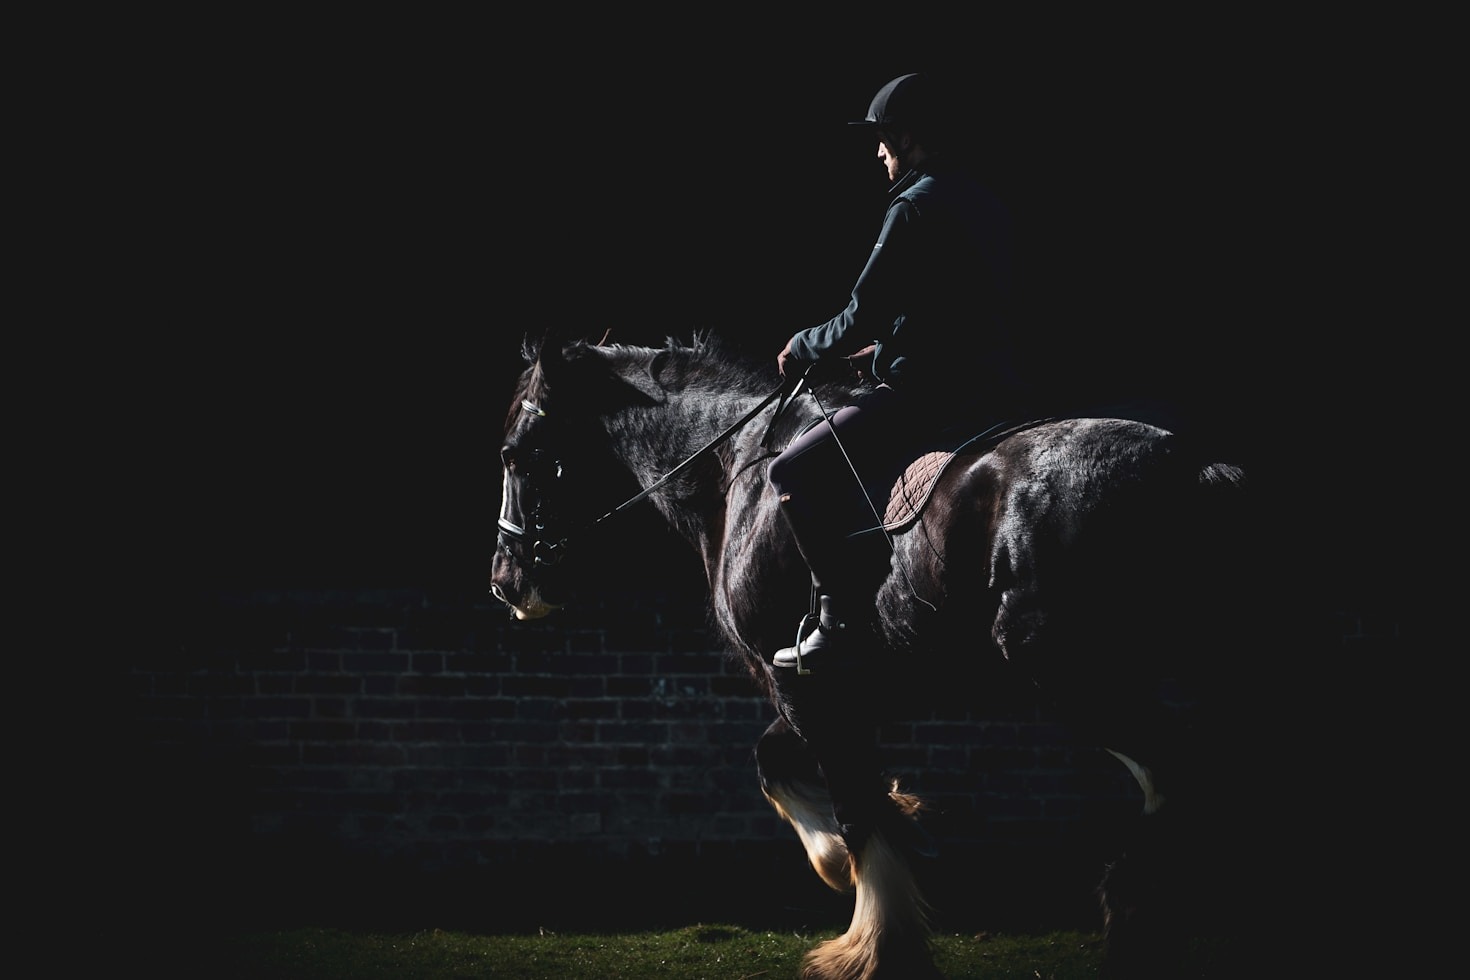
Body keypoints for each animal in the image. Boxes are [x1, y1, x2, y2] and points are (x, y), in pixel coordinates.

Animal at [489, 332, 1278, 979]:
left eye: (515, 455)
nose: (506, 583)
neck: (735, 469)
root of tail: (1195, 466)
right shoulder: (835, 686)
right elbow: (784, 767)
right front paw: (872, 855)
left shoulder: (804, 686)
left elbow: (851, 805)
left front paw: (874, 943)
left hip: (1070, 672)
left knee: (1182, 773)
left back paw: (1130, 911)